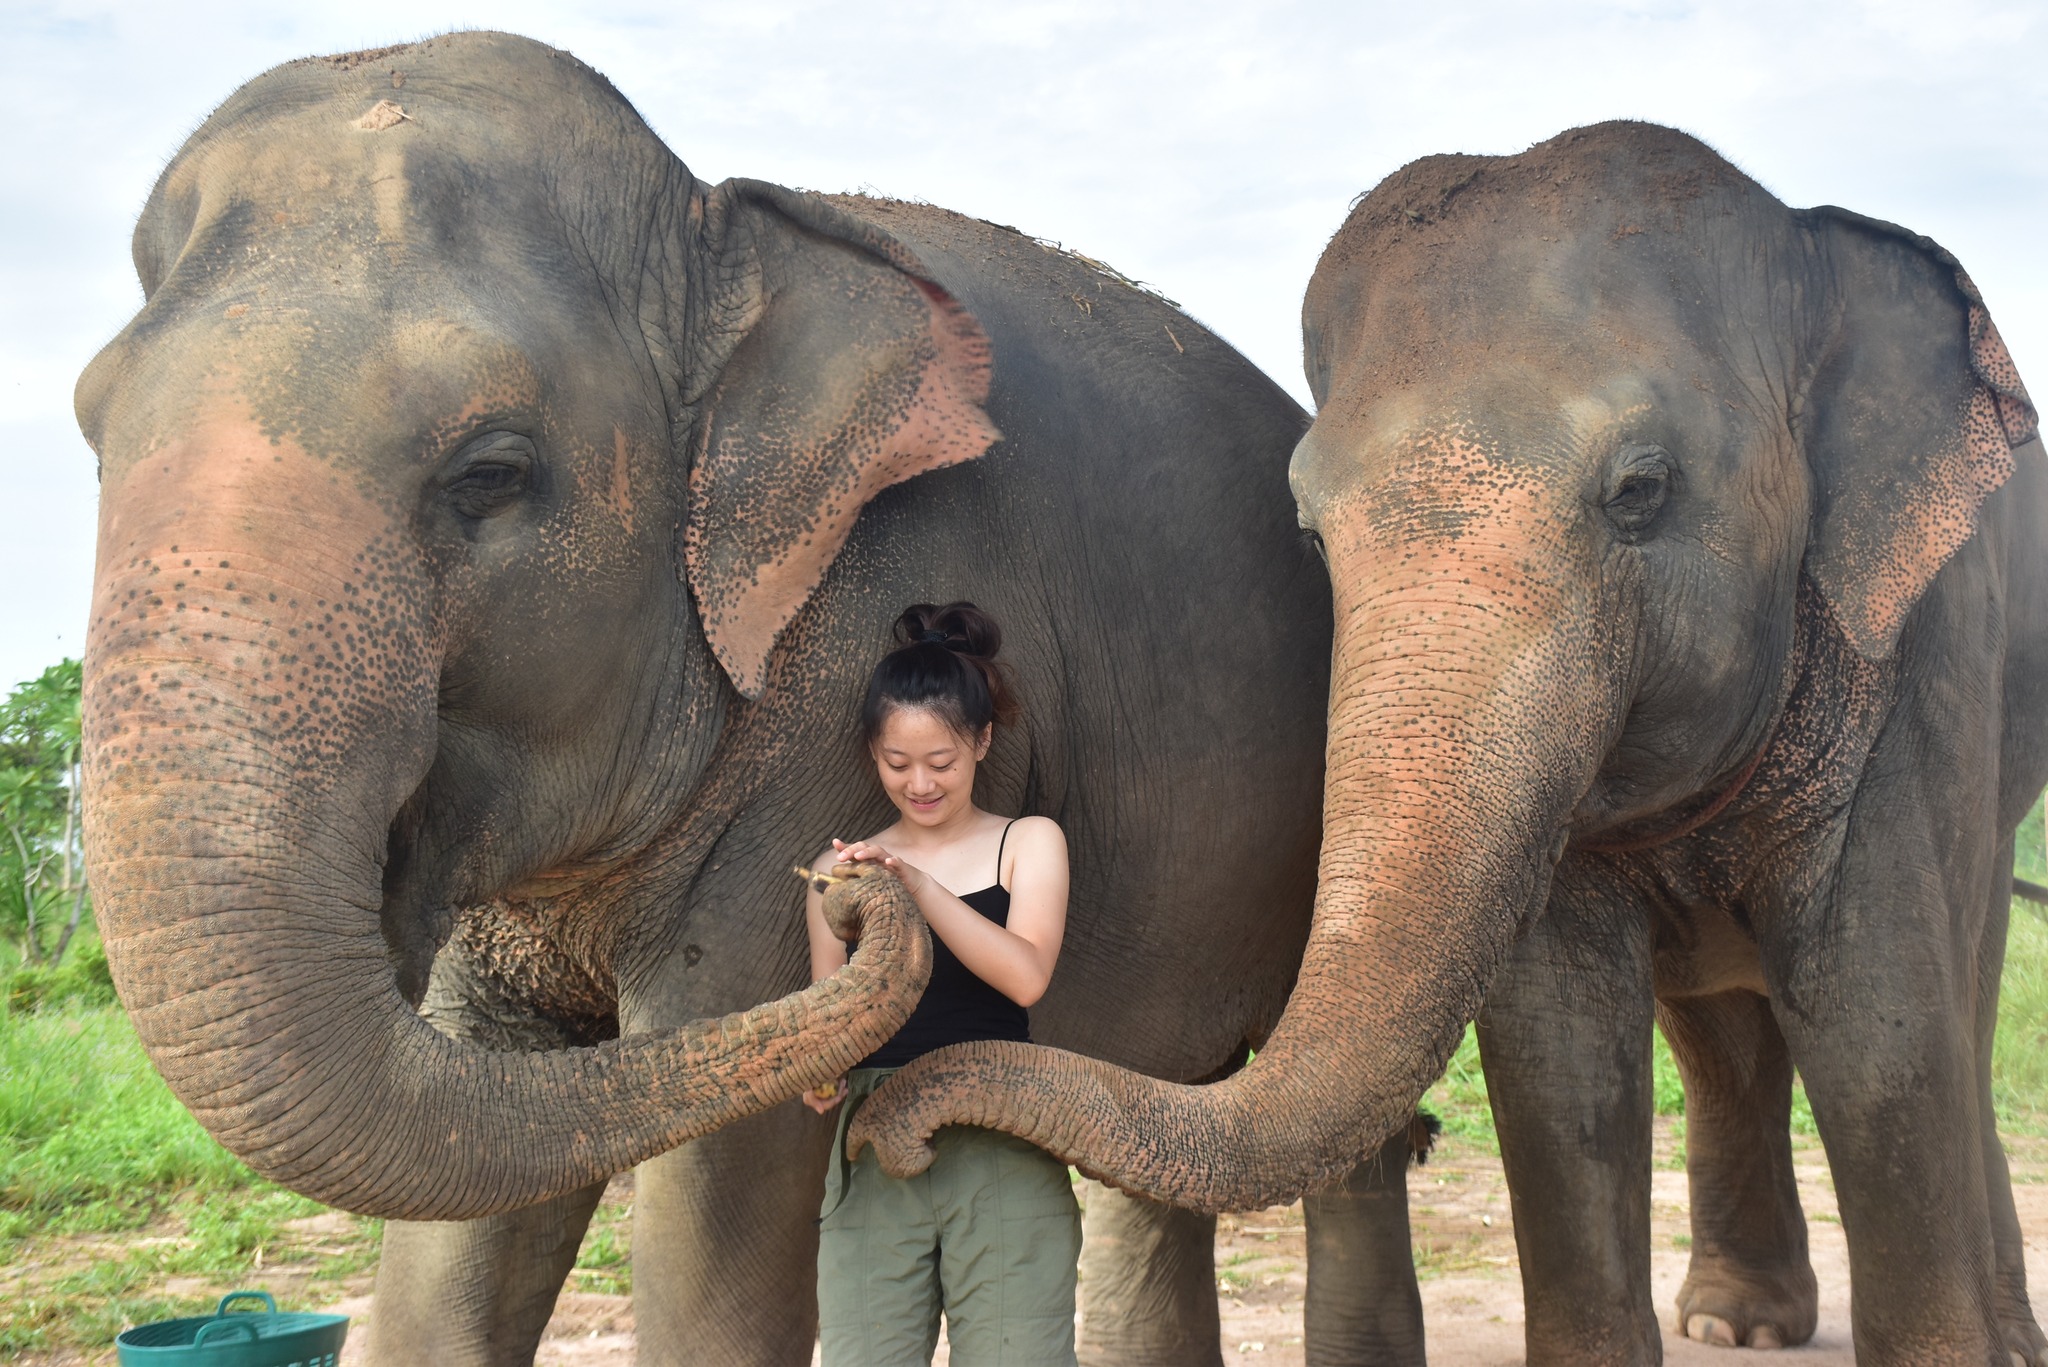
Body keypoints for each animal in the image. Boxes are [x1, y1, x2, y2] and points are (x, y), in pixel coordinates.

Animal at [72, 30, 1437, 1367]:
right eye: (91, 430)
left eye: (491, 472)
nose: (846, 884)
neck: (716, 221)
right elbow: (459, 1202)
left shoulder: (830, 686)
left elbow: (718, 1213)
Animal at [852, 121, 2048, 1365]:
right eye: (1306, 529)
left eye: (1640, 488)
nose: (892, 1130)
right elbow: (1558, 1049)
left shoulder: (1922, 647)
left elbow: (1879, 1023)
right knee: (1720, 1029)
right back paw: (1737, 1321)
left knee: (1956, 993)